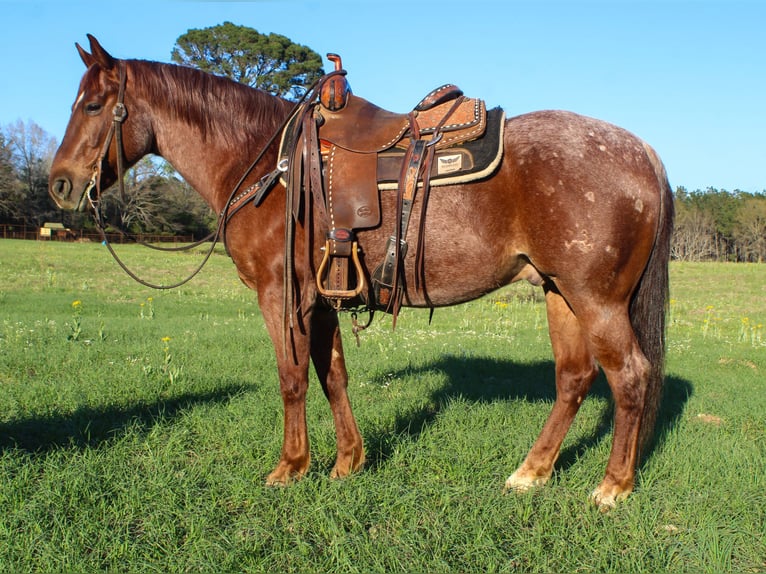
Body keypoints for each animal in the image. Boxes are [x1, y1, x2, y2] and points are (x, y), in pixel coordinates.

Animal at [49, 35, 673, 510]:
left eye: (93, 107)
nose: (59, 184)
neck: (266, 163)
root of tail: (641, 150)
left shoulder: (282, 295)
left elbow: (292, 378)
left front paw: (290, 467)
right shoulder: (324, 298)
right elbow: (333, 377)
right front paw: (348, 462)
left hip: (595, 300)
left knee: (630, 376)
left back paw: (612, 487)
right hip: (558, 292)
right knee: (574, 378)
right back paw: (532, 472)